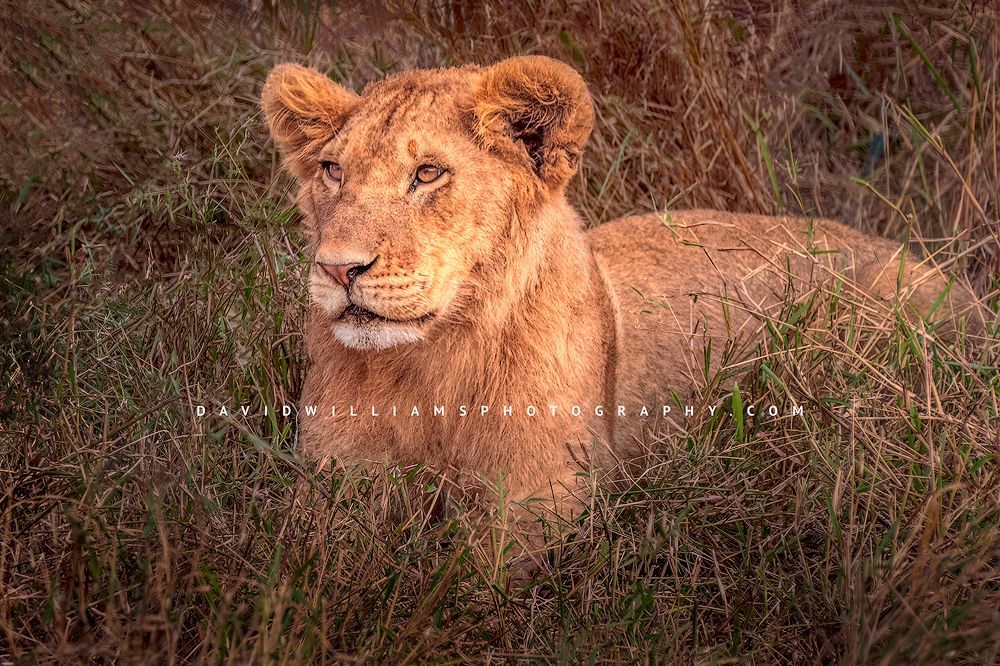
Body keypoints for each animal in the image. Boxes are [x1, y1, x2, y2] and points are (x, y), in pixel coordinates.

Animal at [262, 56, 985, 506]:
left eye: (428, 174)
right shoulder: (329, 488)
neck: (423, 369)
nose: (338, 268)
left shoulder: (543, 501)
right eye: (332, 171)